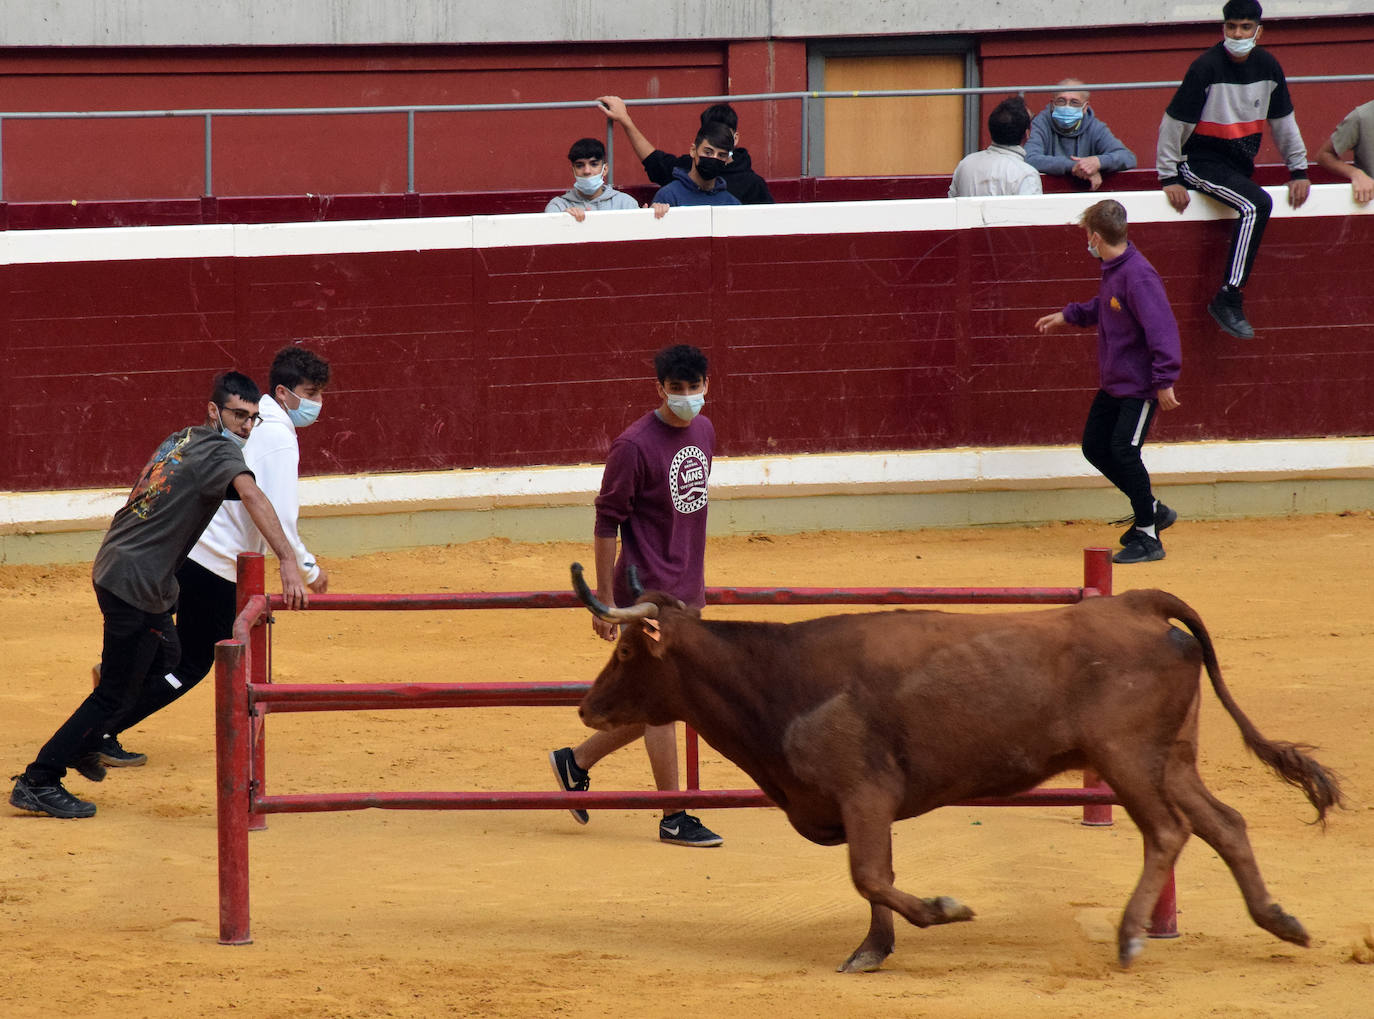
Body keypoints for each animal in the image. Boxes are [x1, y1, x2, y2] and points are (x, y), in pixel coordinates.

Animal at [568, 565, 1341, 972]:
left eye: (628, 651)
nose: (587, 705)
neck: (777, 679)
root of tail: (1136, 604)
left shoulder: (864, 793)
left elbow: (870, 874)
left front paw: (941, 911)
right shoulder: (866, 806)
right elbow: (875, 876)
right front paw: (873, 949)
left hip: (1125, 760)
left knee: (1168, 833)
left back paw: (1130, 934)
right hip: (1169, 758)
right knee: (1225, 823)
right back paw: (1280, 919)